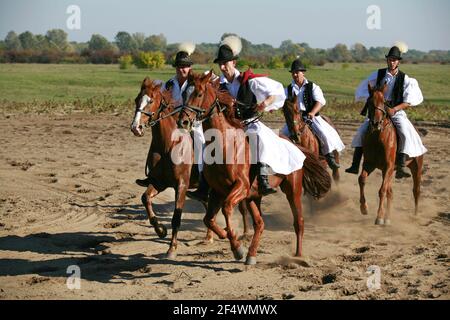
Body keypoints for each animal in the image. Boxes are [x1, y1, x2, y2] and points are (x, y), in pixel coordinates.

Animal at [177, 72, 330, 264]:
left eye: (198, 94)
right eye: (183, 94)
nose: (182, 121)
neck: (225, 145)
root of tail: (294, 144)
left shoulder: (240, 187)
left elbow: (226, 208)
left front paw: (236, 247)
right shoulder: (218, 191)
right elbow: (208, 219)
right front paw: (226, 236)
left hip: (292, 189)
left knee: (299, 221)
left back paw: (298, 255)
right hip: (253, 196)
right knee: (260, 223)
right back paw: (251, 254)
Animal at [358, 84, 422, 225]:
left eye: (384, 102)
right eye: (369, 102)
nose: (376, 123)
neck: (377, 137)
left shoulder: (388, 166)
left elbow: (382, 190)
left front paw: (379, 217)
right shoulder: (370, 164)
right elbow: (362, 179)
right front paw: (364, 208)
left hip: (416, 168)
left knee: (416, 190)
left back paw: (415, 215)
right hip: (389, 171)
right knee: (390, 192)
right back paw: (388, 217)